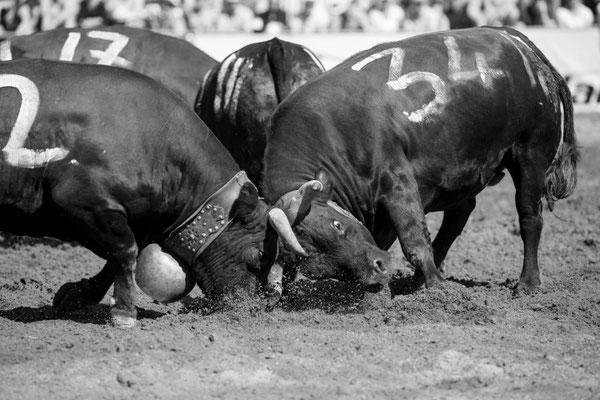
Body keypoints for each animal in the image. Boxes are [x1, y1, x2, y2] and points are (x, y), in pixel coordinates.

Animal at [0, 60, 308, 328]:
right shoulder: (84, 202)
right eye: (259, 256)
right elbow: (125, 251)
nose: (249, 308)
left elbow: (116, 260)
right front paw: (124, 313)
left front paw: (78, 294)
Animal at [262, 26, 576, 292]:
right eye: (318, 264)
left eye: (337, 225)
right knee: (459, 214)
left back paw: (528, 283)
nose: (378, 267)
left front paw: (435, 288)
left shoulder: (397, 179)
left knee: (529, 218)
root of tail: (518, 42)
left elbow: (413, 240)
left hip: (531, 153)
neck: (330, 131)